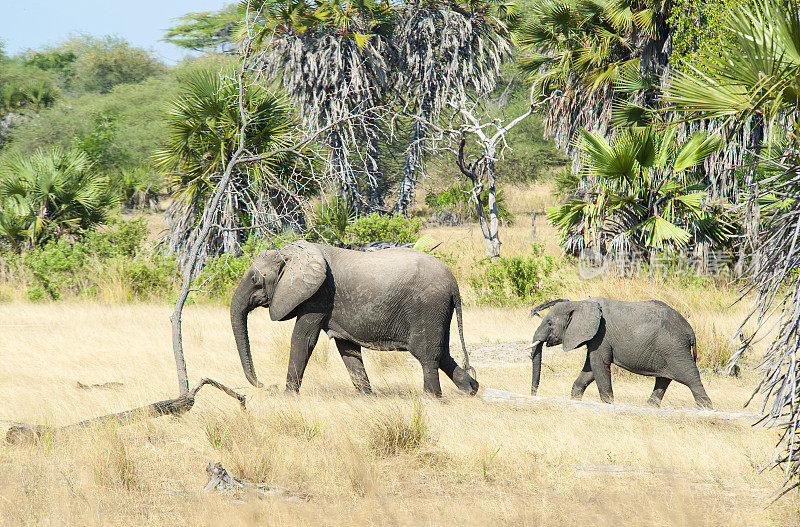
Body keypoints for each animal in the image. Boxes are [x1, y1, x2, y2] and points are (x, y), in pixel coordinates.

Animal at [228, 242, 476, 396]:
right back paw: (471, 389)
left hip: (427, 307)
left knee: (426, 354)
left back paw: (431, 398)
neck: (294, 255)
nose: (265, 385)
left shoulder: (317, 295)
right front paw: (367, 397)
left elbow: (303, 340)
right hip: (437, 310)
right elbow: (347, 348)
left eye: (255, 279)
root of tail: (453, 282)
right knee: (442, 353)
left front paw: (287, 397)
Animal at [532, 300, 712, 410]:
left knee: (691, 378)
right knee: (663, 379)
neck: (580, 303)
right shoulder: (595, 338)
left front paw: (608, 404)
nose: (533, 395)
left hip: (674, 348)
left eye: (549, 323)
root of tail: (690, 331)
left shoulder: (601, 335)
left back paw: (706, 408)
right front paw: (576, 400)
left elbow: (598, 366)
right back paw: (649, 407)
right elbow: (590, 369)